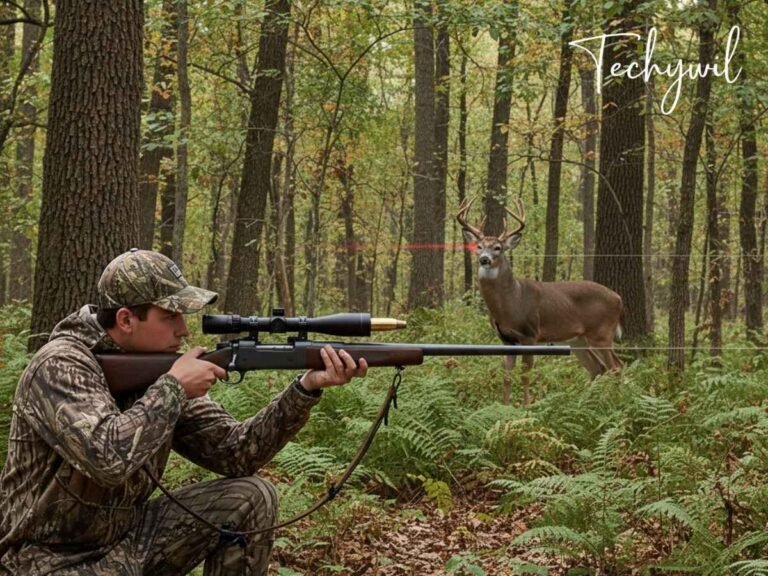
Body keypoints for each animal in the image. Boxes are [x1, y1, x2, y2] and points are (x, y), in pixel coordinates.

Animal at [456, 197, 624, 405]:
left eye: (498, 248)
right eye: (479, 247)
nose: (484, 259)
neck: (512, 301)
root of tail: (618, 298)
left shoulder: (530, 334)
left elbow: (525, 374)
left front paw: (527, 406)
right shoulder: (506, 339)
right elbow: (506, 376)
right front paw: (505, 407)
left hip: (602, 333)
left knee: (616, 366)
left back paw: (616, 402)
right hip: (578, 339)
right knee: (597, 367)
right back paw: (585, 403)